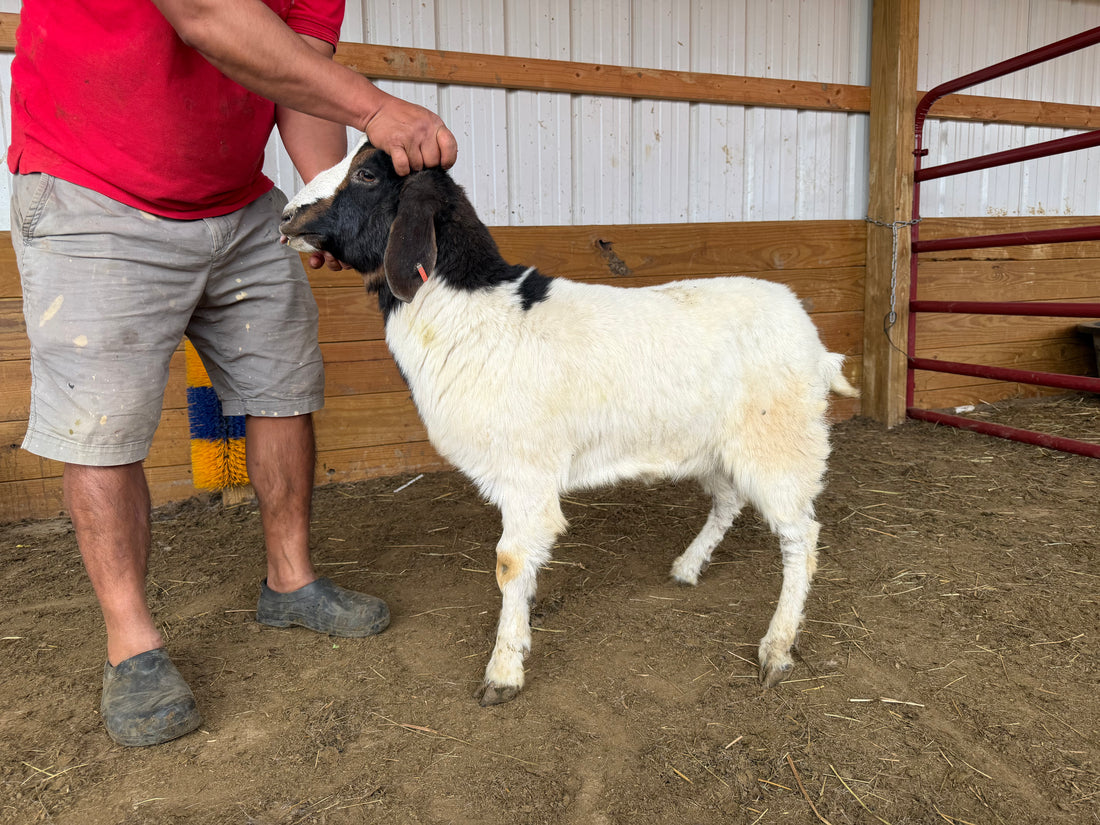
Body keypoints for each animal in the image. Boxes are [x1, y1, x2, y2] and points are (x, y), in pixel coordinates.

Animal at [279, 137, 858, 705]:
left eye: (367, 174)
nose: (286, 217)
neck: (474, 312)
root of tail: (815, 344)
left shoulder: (526, 471)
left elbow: (510, 562)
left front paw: (503, 671)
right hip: (716, 445)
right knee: (730, 501)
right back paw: (688, 568)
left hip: (780, 443)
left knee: (800, 537)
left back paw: (777, 648)